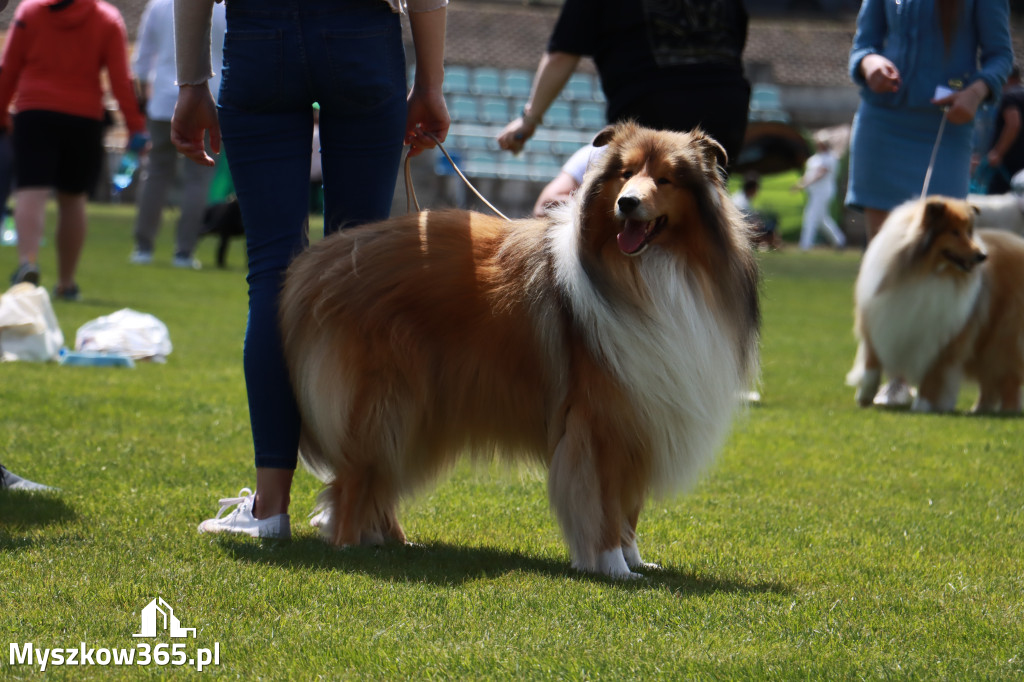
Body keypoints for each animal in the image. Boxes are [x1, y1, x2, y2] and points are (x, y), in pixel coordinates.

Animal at [280, 120, 761, 573]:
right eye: (625, 174)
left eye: (665, 179)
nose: (626, 203)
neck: (648, 271)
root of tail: (317, 261)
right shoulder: (601, 423)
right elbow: (604, 505)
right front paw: (613, 567)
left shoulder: (645, 408)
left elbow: (630, 507)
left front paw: (635, 559)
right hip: (384, 407)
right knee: (353, 480)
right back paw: (348, 545)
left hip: (416, 413)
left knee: (377, 480)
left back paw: (391, 541)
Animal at [843, 193, 1024, 411]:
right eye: (955, 232)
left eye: (968, 232)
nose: (982, 256)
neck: (925, 272)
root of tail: (1018, 242)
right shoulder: (878, 323)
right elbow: (871, 365)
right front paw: (864, 397)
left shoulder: (941, 335)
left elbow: (934, 375)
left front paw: (924, 406)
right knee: (989, 379)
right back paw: (980, 409)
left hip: (1002, 339)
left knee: (1008, 376)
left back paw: (1008, 409)